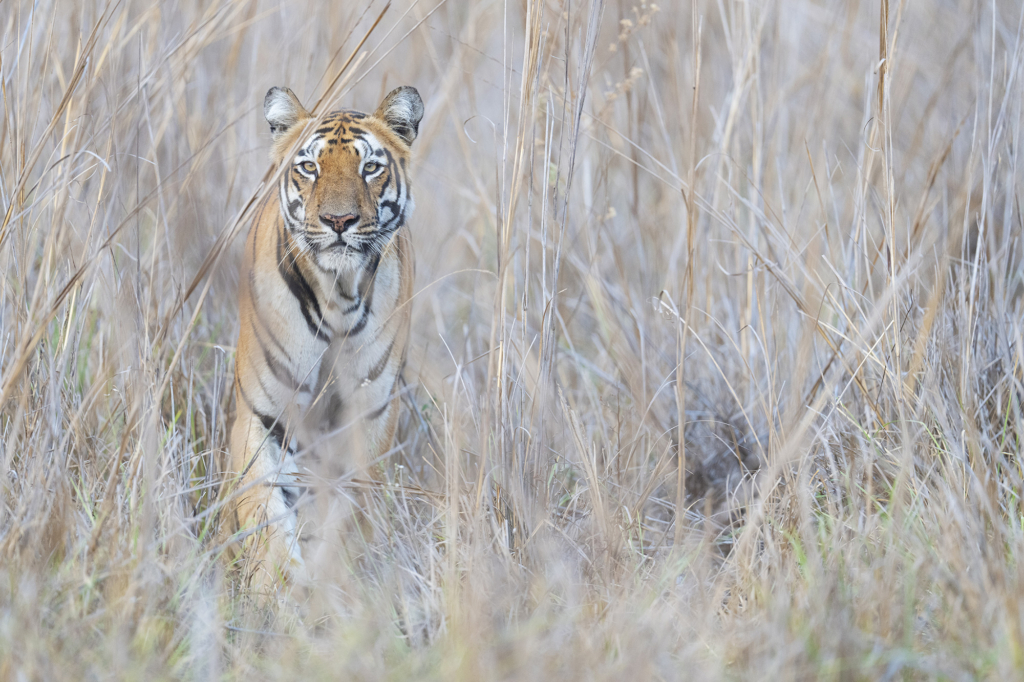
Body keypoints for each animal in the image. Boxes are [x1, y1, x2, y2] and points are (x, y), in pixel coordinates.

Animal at [226, 84, 421, 593]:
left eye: (369, 167)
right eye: (309, 167)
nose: (339, 220)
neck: (338, 296)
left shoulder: (370, 411)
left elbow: (350, 511)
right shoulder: (264, 414)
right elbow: (265, 512)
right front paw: (276, 589)